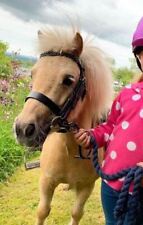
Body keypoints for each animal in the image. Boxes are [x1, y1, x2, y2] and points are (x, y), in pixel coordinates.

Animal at [14, 26, 113, 225]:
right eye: (32, 74)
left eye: (68, 79)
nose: (22, 129)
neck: (70, 148)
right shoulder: (46, 182)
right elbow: (42, 211)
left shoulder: (87, 187)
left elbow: (76, 213)